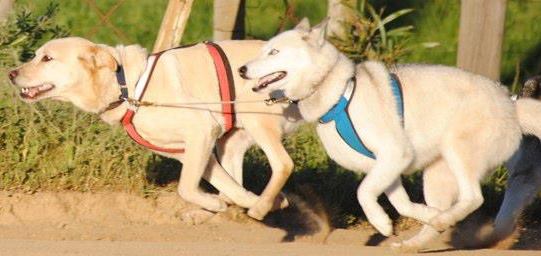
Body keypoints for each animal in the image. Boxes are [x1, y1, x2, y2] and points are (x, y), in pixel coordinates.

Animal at [8, 37, 302, 220]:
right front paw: (263, 202)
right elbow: (230, 188)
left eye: (47, 58)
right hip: (232, 141)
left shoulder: (201, 130)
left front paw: (229, 203)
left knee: (283, 163)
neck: (127, 87)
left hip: (258, 121)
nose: (11, 74)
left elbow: (185, 188)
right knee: (238, 176)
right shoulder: (190, 150)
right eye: (35, 55)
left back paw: (258, 207)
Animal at [240, 19, 541, 251]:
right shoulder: (387, 165)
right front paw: (421, 215)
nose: (242, 69)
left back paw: (443, 220)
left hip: (459, 151)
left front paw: (381, 223)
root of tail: (511, 104)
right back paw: (417, 239)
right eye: (263, 50)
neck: (340, 96)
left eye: (274, 52)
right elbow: (402, 203)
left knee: (474, 198)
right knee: (448, 210)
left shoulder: (394, 154)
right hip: (437, 176)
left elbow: (363, 193)